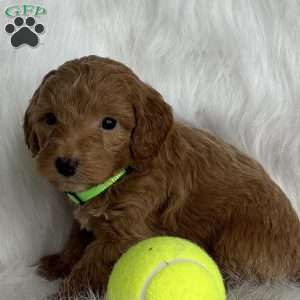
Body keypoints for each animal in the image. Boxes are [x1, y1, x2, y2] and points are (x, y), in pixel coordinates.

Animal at [24, 55, 300, 296]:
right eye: (50, 119)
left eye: (109, 123)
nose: (65, 164)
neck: (123, 173)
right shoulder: (88, 222)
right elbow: (75, 240)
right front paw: (58, 263)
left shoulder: (125, 233)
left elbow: (90, 267)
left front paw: (64, 294)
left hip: (237, 241)